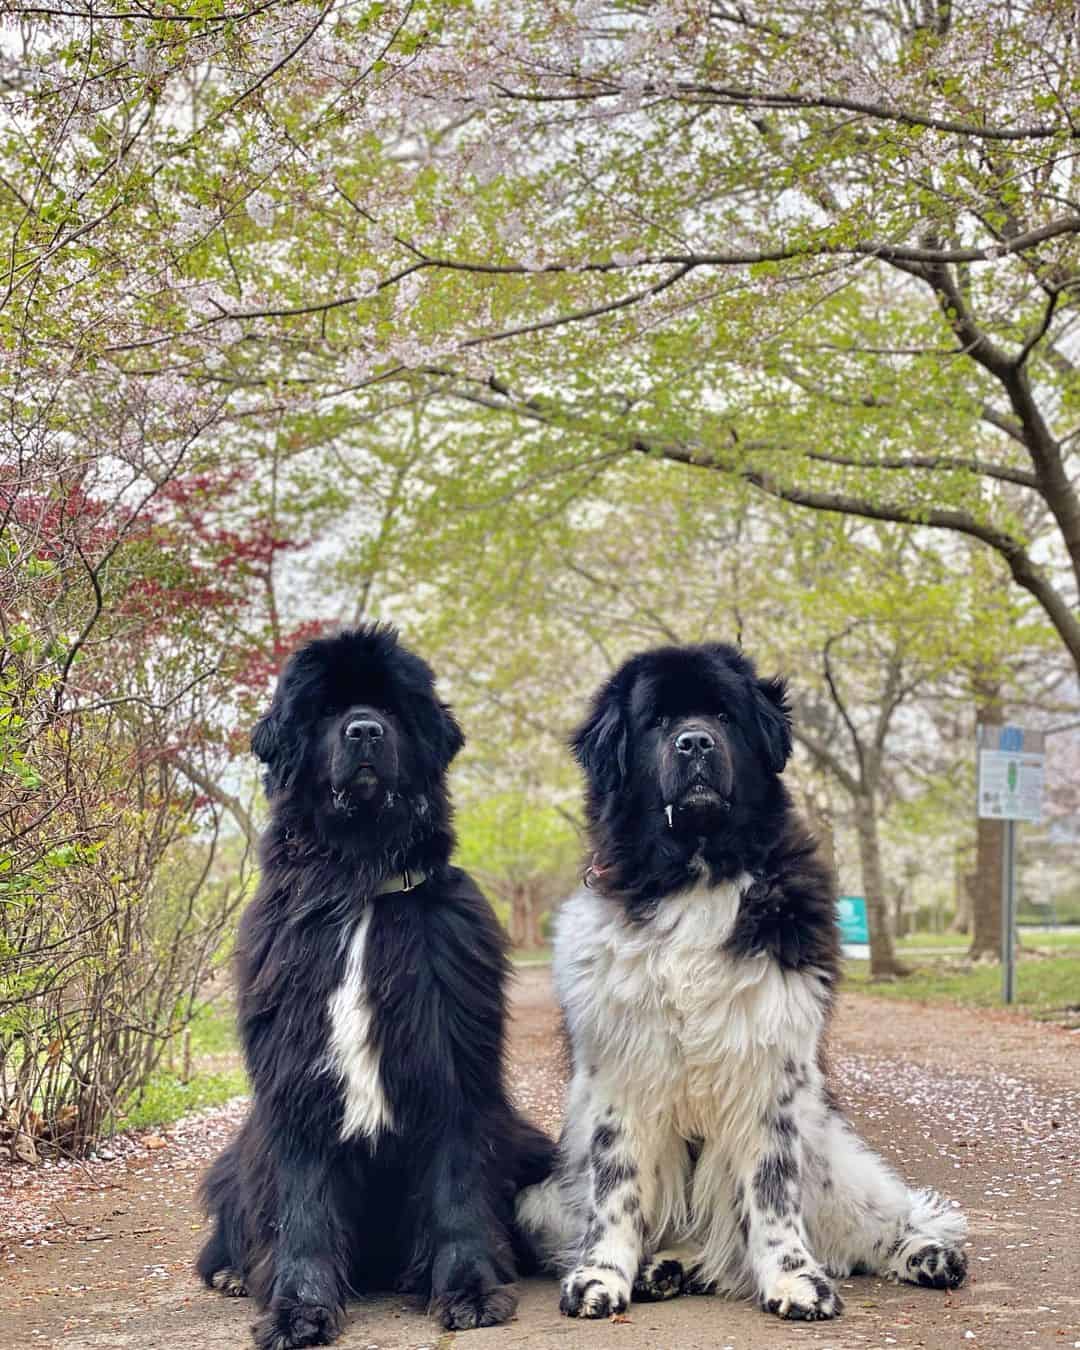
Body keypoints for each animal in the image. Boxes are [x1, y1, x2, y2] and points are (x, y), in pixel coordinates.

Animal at [195, 626, 553, 1344]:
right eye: (328, 710)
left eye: (390, 707)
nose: (364, 731)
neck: (359, 882)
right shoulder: (297, 1076)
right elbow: (301, 1205)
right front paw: (298, 1308)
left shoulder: (451, 1068)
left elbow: (457, 1189)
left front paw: (470, 1291)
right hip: (235, 1158)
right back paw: (229, 1273)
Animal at [515, 639, 972, 1317]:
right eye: (657, 722)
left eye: (724, 717)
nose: (694, 742)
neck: (697, 876)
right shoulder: (620, 1076)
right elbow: (617, 1188)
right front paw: (601, 1276)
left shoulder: (771, 1073)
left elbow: (773, 1194)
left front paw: (794, 1279)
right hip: (542, 1199)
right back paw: (665, 1265)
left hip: (833, 1155)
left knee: (879, 1222)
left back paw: (926, 1253)